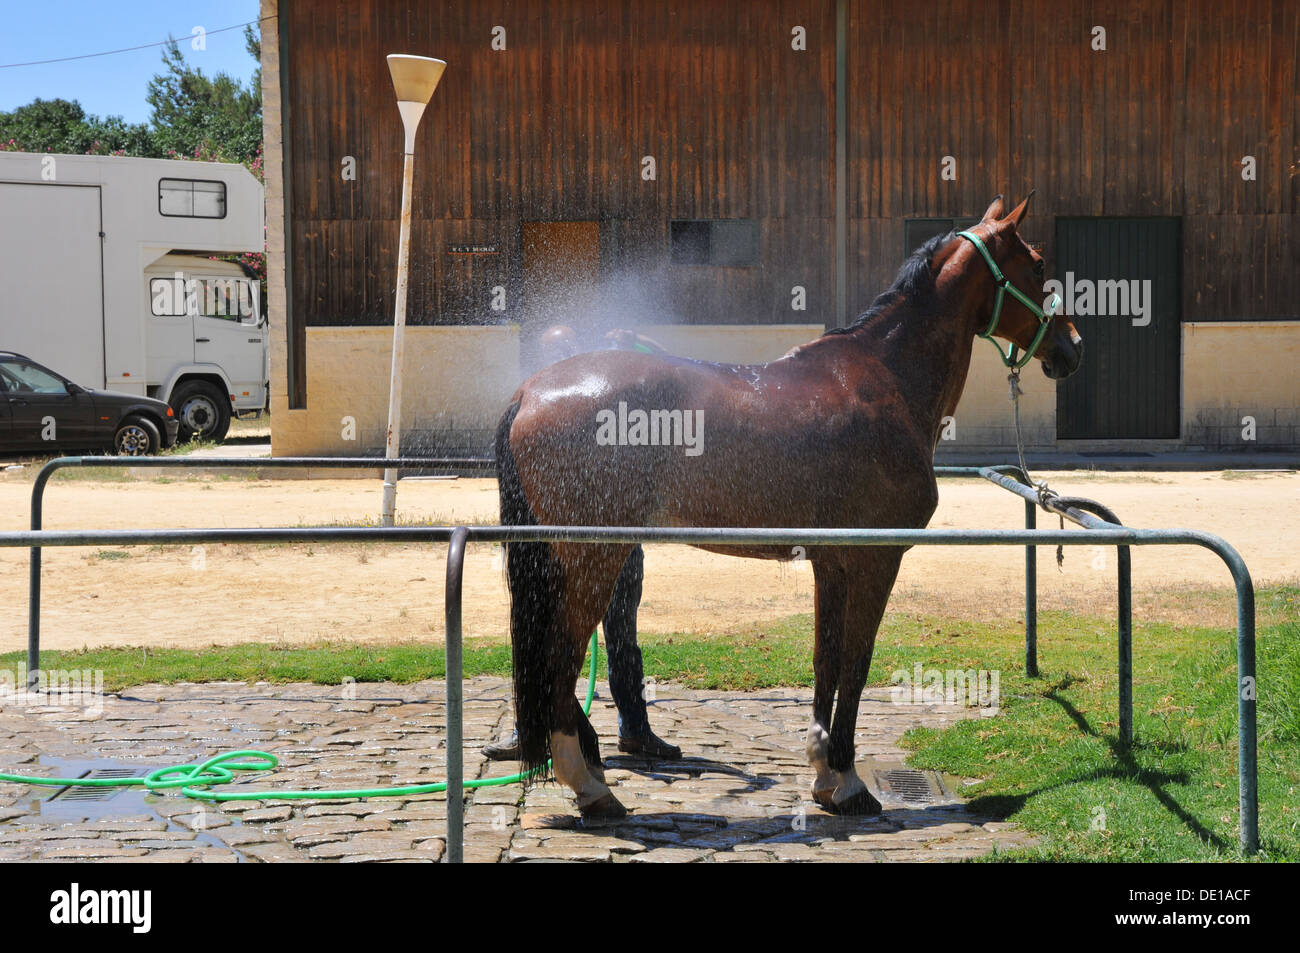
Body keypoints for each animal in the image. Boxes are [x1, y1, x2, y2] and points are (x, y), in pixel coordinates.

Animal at [495, 194, 1082, 818]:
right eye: (1037, 265)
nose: (1071, 347)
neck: (886, 376)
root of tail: (529, 391)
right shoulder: (878, 559)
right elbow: (856, 663)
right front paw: (850, 784)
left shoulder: (833, 562)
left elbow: (827, 662)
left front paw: (825, 773)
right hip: (592, 558)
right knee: (558, 660)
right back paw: (591, 786)